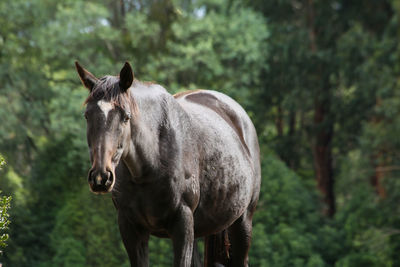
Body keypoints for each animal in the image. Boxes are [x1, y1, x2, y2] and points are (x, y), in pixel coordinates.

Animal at [75, 61, 262, 266]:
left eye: (126, 117)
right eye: (87, 116)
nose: (101, 177)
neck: (151, 164)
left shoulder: (182, 223)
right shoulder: (130, 227)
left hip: (242, 222)